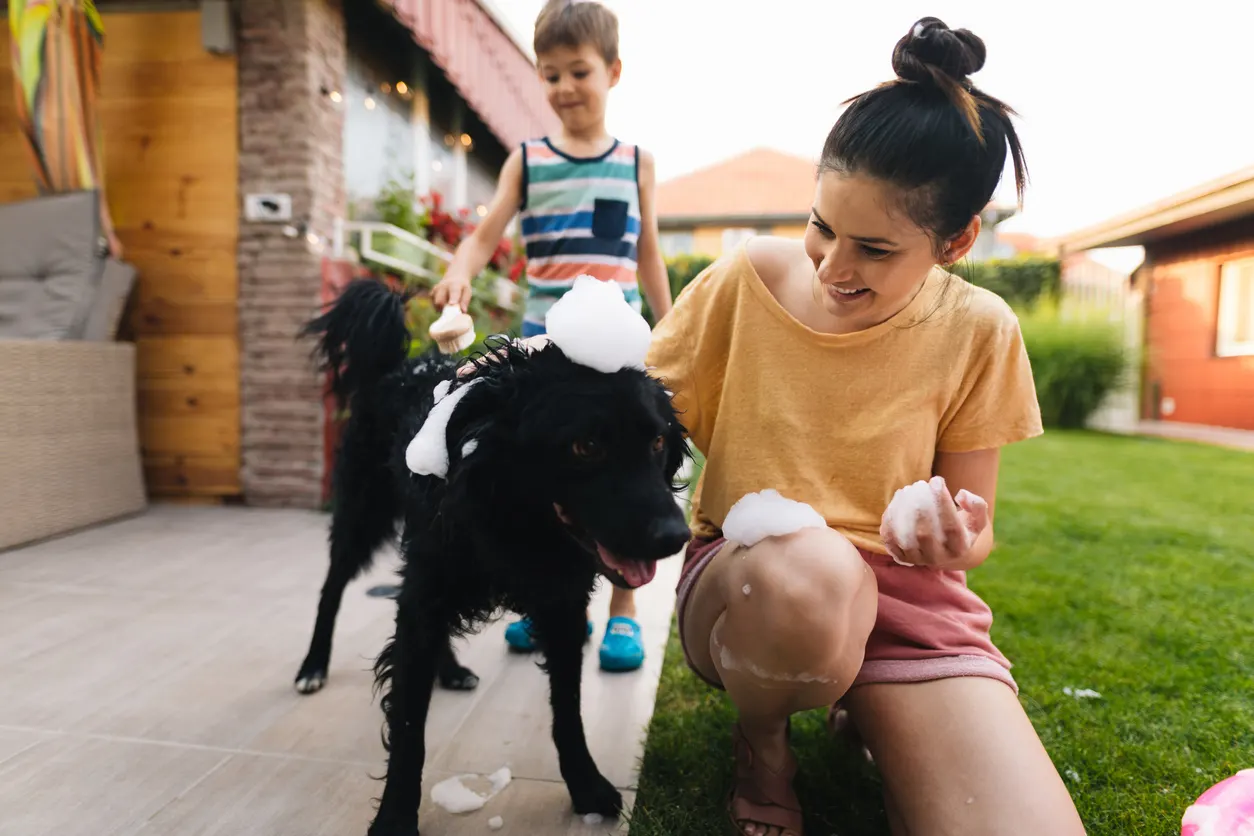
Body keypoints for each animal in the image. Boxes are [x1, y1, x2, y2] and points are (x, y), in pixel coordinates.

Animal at [299, 278, 692, 832]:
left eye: (657, 441)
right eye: (586, 446)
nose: (675, 537)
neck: (515, 520)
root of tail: (398, 365)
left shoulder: (562, 606)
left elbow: (568, 710)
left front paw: (586, 786)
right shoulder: (427, 589)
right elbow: (408, 727)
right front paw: (395, 817)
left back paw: (449, 669)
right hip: (363, 514)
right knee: (332, 587)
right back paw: (313, 666)